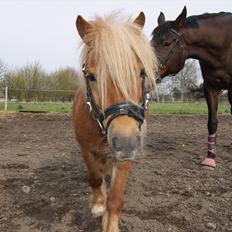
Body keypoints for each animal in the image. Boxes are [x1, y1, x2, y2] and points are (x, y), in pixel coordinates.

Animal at [73, 12, 159, 230]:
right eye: (91, 76)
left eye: (141, 72)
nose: (125, 141)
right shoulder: (85, 148)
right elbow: (95, 178)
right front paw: (98, 205)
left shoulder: (126, 156)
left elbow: (115, 198)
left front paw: (109, 223)